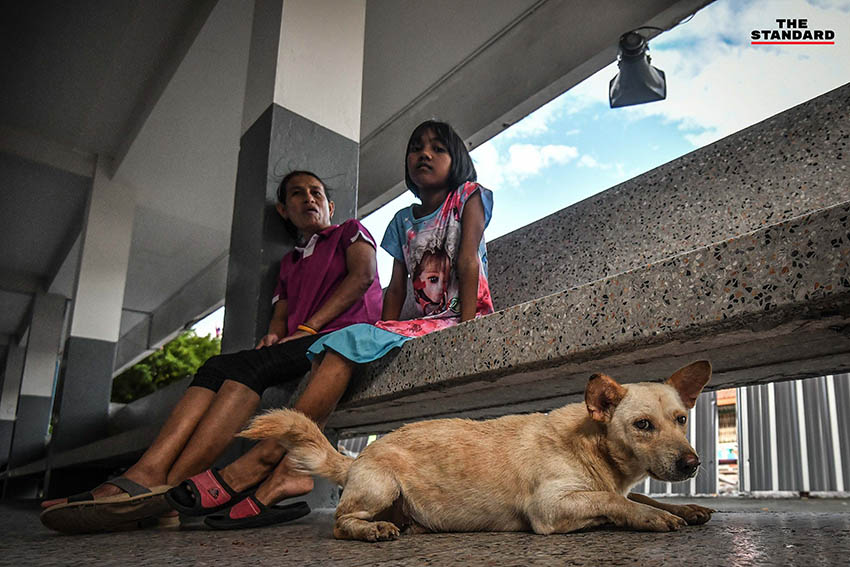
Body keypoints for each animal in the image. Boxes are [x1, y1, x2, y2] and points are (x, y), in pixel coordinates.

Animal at [240, 360, 715, 541]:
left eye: (681, 419)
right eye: (642, 425)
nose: (693, 464)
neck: (592, 444)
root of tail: (358, 459)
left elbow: (640, 496)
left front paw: (685, 507)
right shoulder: (550, 507)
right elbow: (616, 501)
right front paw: (652, 517)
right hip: (381, 487)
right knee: (340, 523)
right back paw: (369, 530)